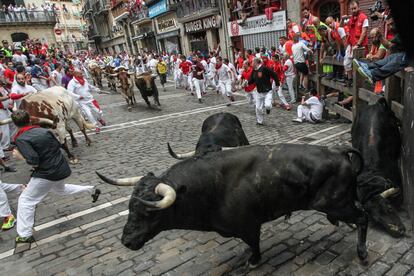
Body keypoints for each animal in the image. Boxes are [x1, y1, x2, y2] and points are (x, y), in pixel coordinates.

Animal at [97, 143, 368, 266]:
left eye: (148, 212)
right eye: (130, 207)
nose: (126, 241)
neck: (211, 187)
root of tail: (340, 151)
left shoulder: (249, 226)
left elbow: (254, 245)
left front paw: (253, 260)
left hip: (334, 203)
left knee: (363, 217)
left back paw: (362, 253)